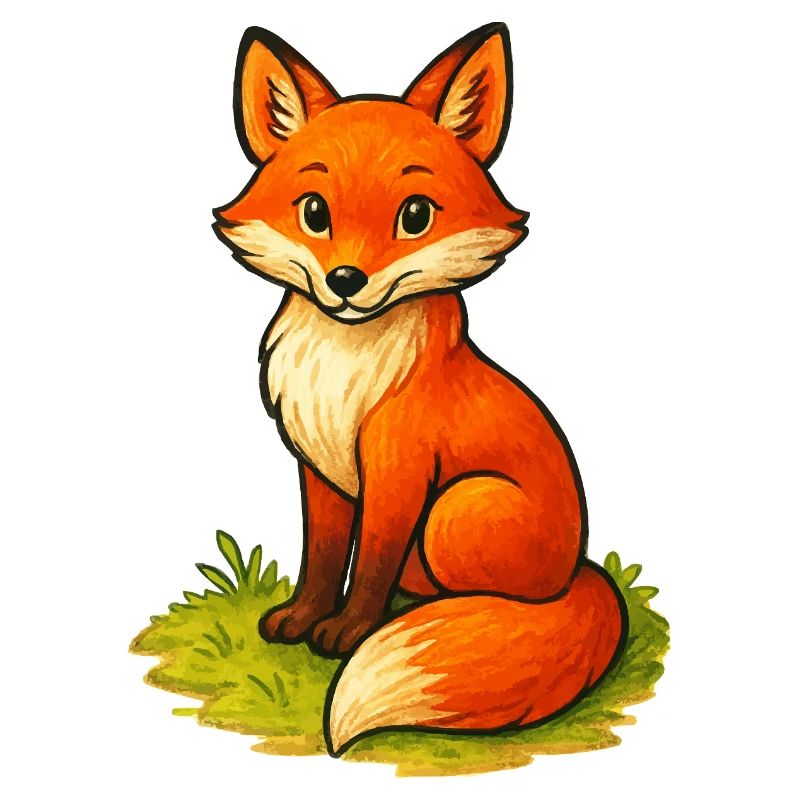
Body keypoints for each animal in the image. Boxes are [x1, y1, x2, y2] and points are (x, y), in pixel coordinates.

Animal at [213, 23, 627, 758]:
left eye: (414, 216)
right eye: (314, 212)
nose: (346, 281)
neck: (344, 370)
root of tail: (580, 569)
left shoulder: (399, 467)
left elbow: (371, 561)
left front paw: (348, 633)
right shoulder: (318, 467)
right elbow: (324, 556)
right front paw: (303, 618)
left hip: (457, 510)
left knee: (487, 597)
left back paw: (450, 614)